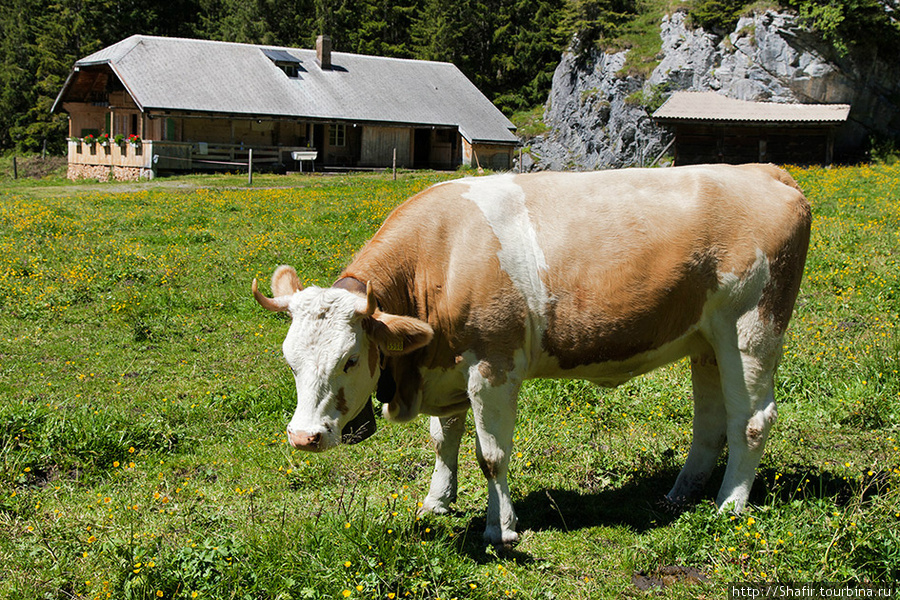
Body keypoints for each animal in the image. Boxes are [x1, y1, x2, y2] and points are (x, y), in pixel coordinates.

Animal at [251, 163, 808, 544]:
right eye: (290, 362)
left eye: (349, 359)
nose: (303, 437)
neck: (440, 257)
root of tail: (762, 172)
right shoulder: (446, 369)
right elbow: (443, 441)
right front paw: (437, 501)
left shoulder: (492, 367)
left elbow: (491, 455)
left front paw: (501, 527)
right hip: (706, 342)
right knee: (710, 419)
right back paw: (680, 493)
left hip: (750, 329)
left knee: (751, 419)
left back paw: (730, 505)